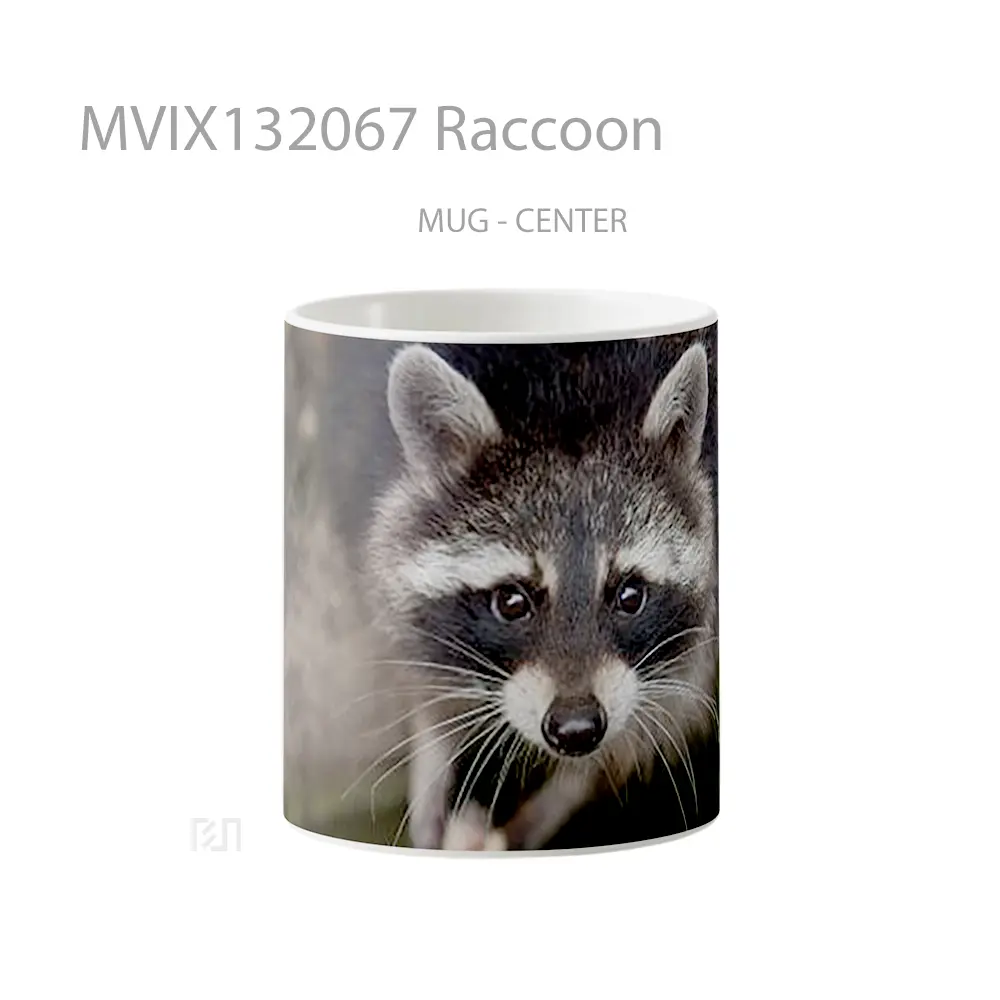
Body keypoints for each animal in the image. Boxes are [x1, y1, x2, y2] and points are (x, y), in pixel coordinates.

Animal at [366, 331, 718, 850]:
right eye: (513, 602)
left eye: (630, 596)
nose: (576, 729)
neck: (568, 389)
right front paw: (435, 759)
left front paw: (548, 807)